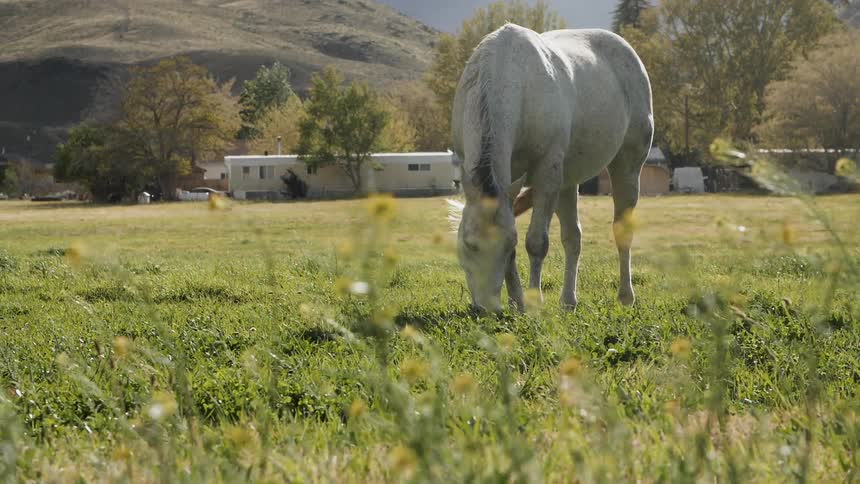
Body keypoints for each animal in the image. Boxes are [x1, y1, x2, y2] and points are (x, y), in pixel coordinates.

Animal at [449, 23, 654, 313]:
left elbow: (537, 243)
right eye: (469, 244)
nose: (488, 308)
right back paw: (568, 301)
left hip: (626, 167)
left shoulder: (547, 173)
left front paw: (533, 302)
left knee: (622, 230)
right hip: (567, 182)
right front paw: (518, 301)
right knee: (573, 238)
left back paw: (626, 296)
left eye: (507, 245)